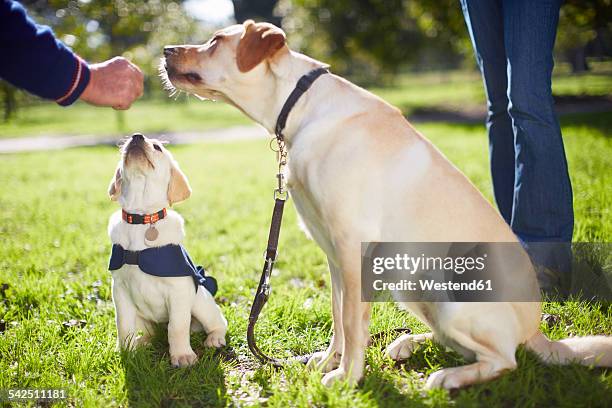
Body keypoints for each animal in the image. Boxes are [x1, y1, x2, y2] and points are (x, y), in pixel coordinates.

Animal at [107, 134, 227, 366]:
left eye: (157, 147)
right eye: (126, 144)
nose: (136, 137)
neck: (141, 219)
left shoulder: (179, 291)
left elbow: (177, 327)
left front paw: (182, 356)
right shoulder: (120, 290)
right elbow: (123, 325)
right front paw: (126, 352)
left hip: (200, 301)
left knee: (218, 321)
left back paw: (215, 338)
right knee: (150, 332)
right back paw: (143, 342)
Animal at [160, 20, 608, 388]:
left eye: (216, 40)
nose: (164, 50)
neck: (301, 105)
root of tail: (536, 330)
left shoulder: (351, 246)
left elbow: (354, 323)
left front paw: (347, 377)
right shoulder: (333, 254)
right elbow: (338, 316)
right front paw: (329, 362)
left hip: (454, 293)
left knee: (504, 360)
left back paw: (450, 377)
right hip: (411, 285)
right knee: (464, 343)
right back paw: (409, 344)